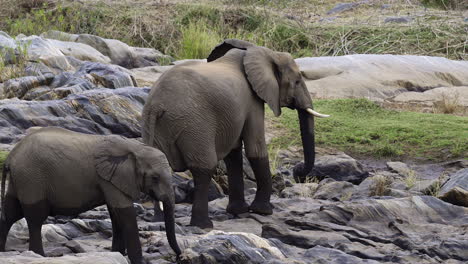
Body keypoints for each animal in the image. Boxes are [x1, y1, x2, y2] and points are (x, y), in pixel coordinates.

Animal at [0, 127, 181, 262]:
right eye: (155, 178)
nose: (179, 257)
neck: (135, 147)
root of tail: (11, 156)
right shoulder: (109, 178)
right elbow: (125, 212)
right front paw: (138, 261)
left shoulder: (111, 179)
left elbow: (115, 214)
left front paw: (117, 254)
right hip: (32, 178)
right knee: (35, 217)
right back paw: (39, 256)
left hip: (21, 179)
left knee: (10, 213)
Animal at [143, 39, 330, 229]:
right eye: (298, 81)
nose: (297, 171)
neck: (262, 52)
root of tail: (157, 105)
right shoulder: (252, 100)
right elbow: (255, 148)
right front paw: (263, 211)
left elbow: (233, 153)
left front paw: (239, 211)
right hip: (193, 124)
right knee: (204, 168)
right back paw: (203, 225)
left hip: (157, 126)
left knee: (158, 168)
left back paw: (159, 220)